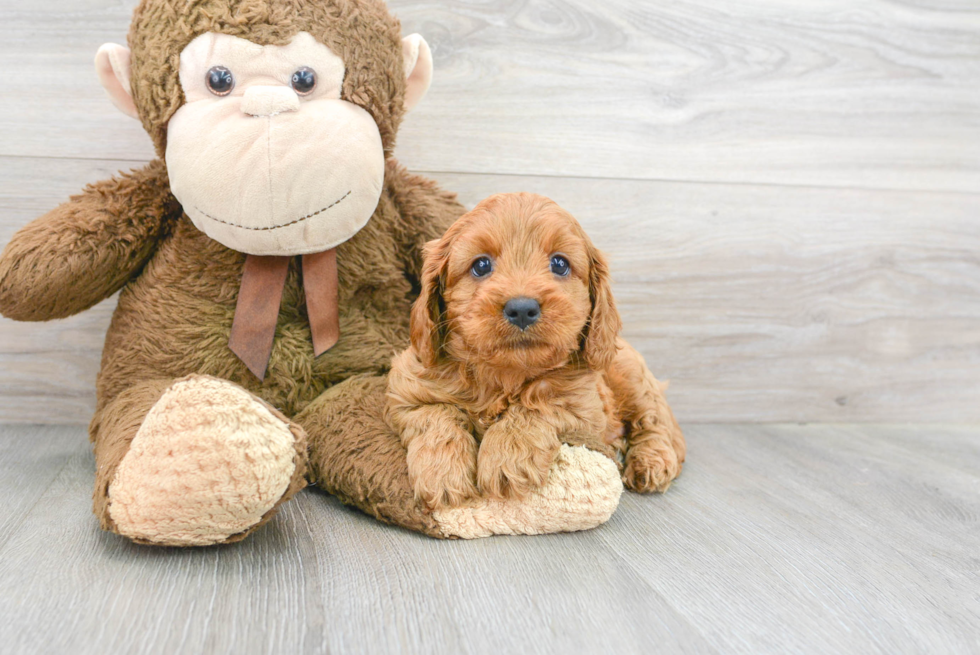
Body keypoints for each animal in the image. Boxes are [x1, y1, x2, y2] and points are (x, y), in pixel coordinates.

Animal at [382, 192, 680, 510]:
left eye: (560, 264)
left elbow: (536, 405)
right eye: (481, 266)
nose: (522, 308)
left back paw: (652, 462)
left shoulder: (585, 408)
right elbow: (436, 413)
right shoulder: (405, 390)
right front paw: (441, 473)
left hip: (631, 376)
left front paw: (507, 456)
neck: (505, 375)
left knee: (654, 422)